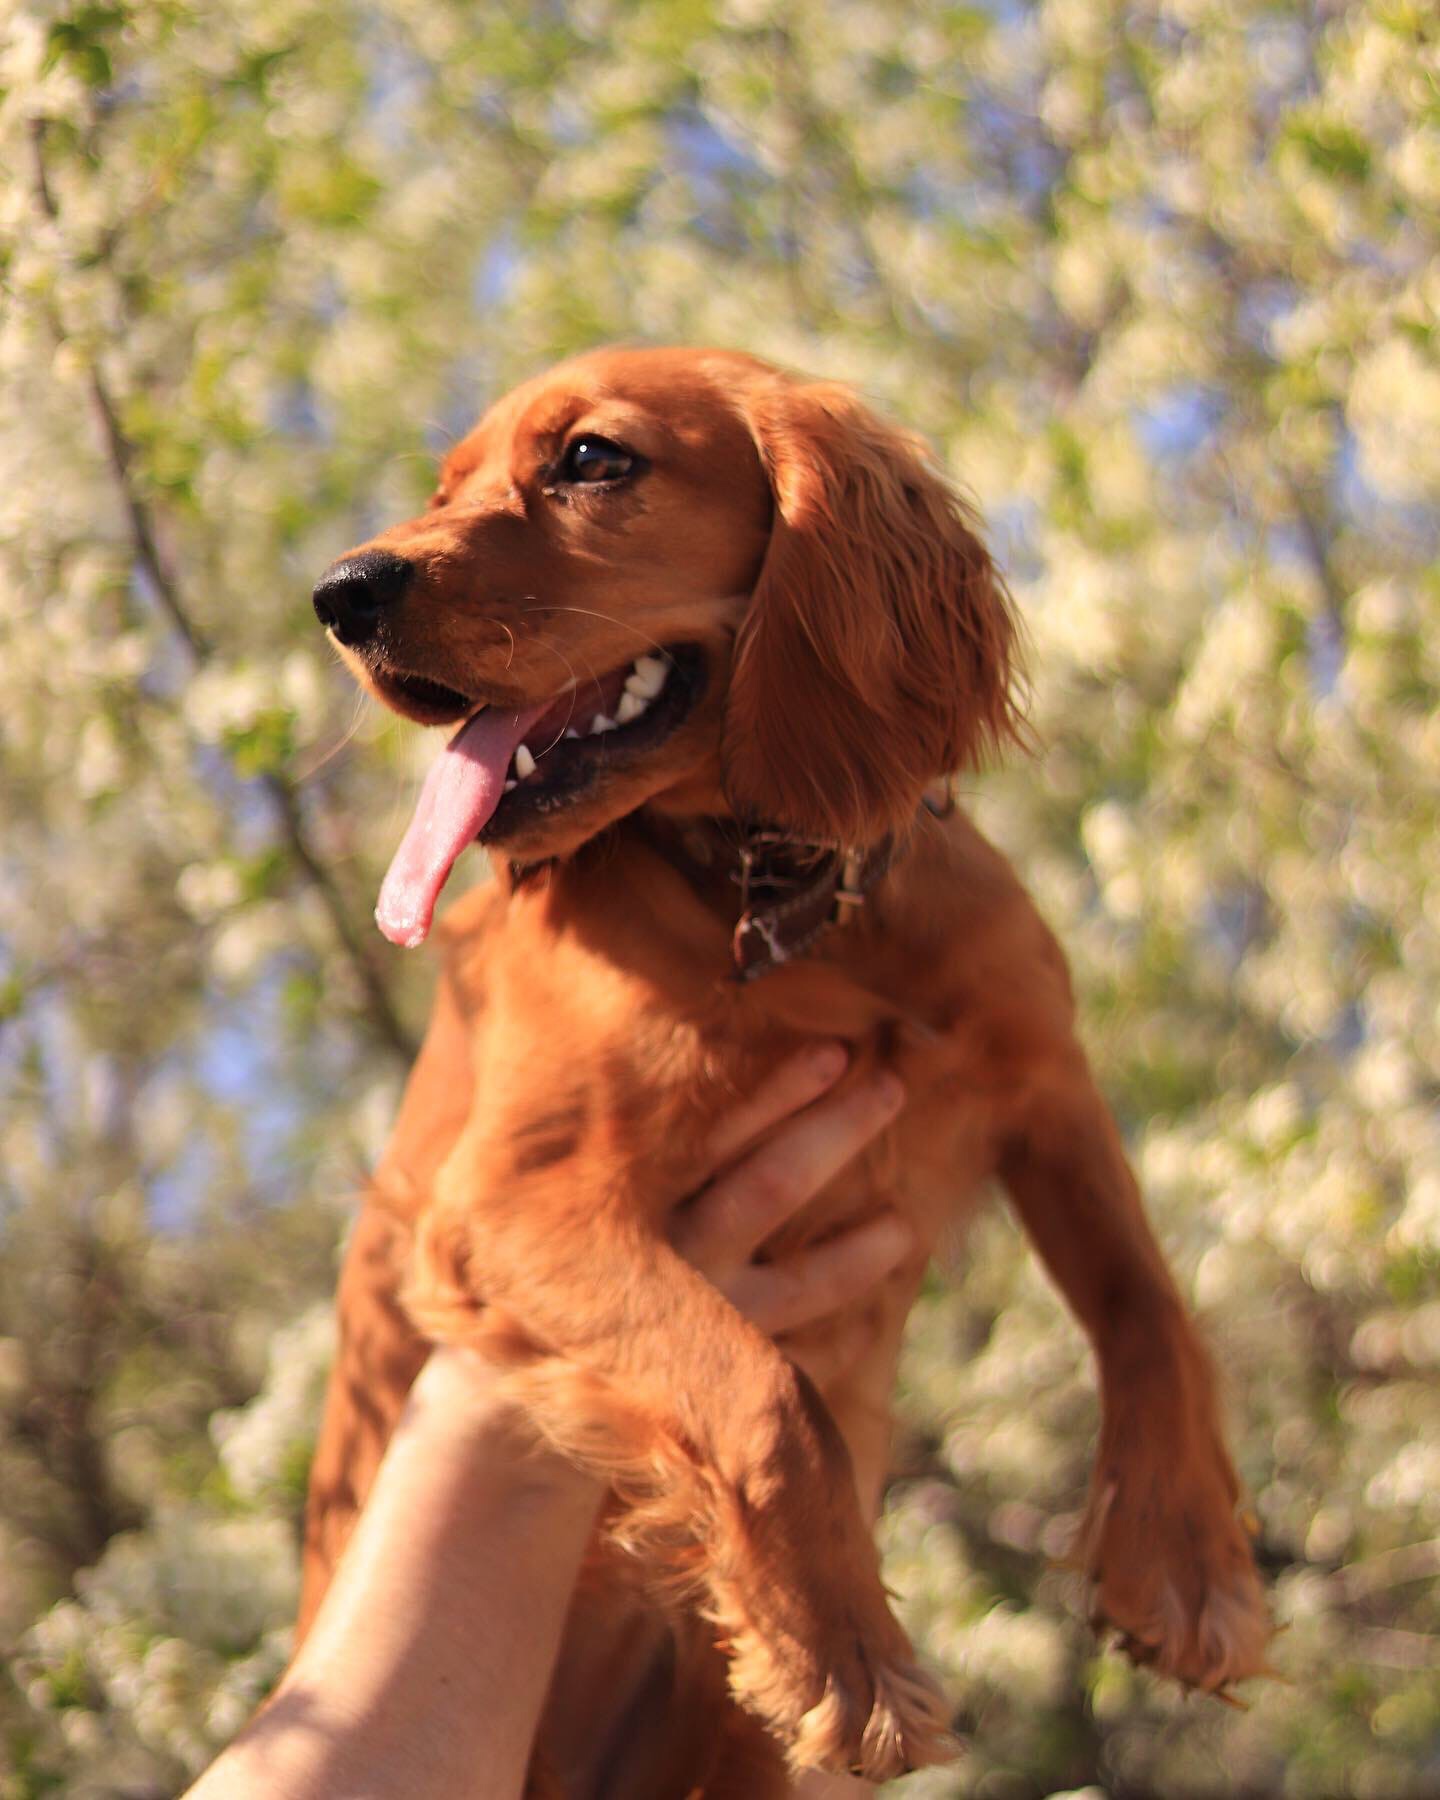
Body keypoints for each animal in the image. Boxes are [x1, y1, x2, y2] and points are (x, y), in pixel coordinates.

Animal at [298, 343, 1267, 1792]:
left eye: (591, 459)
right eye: (442, 488)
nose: (340, 594)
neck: (777, 897)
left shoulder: (1047, 1079)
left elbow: (1152, 1305)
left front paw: (1188, 1563)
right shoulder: (509, 1205)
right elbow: (764, 1388)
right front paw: (845, 1655)